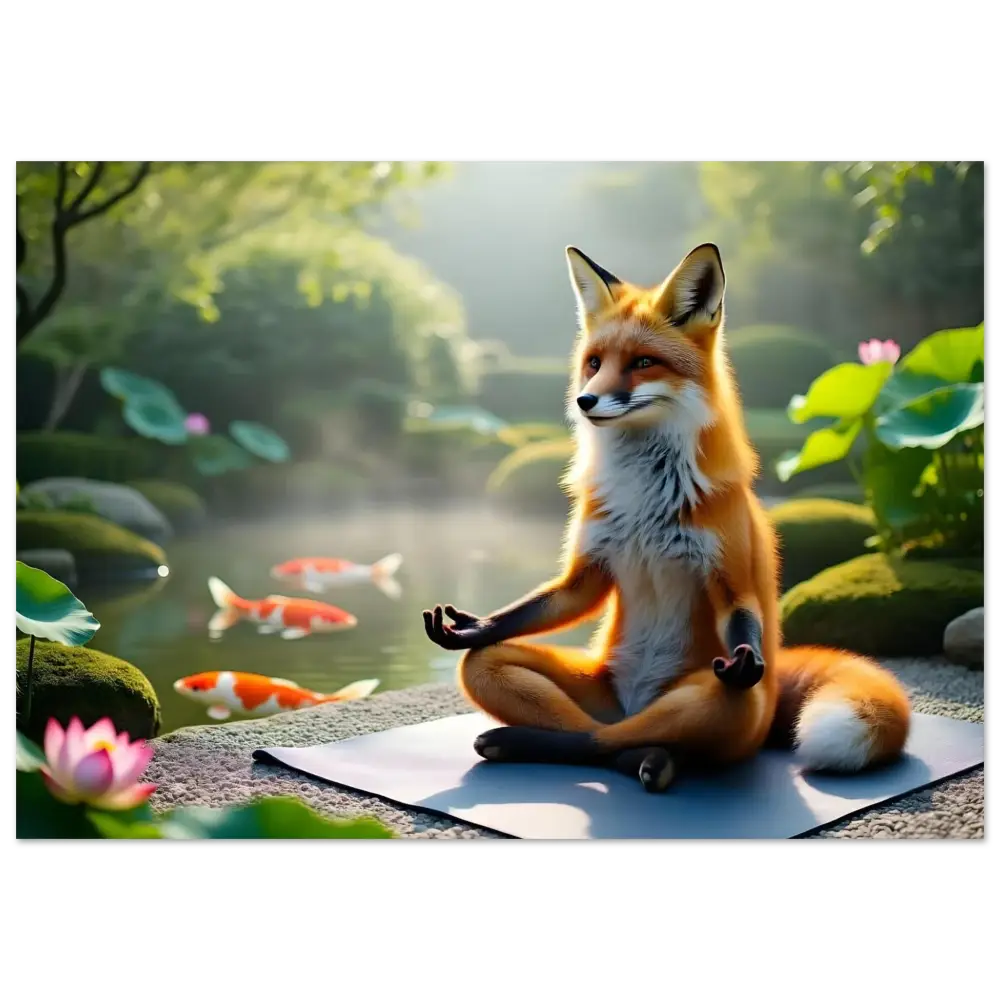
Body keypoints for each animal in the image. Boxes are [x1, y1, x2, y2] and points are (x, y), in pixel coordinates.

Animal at [422, 241, 912, 793]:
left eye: (642, 362)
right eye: (594, 363)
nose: (585, 400)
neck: (646, 501)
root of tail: (636, 702)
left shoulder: (730, 578)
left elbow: (739, 613)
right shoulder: (588, 569)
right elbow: (534, 610)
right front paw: (476, 625)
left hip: (726, 696)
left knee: (622, 736)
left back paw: (646, 757)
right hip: (573, 684)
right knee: (552, 705)